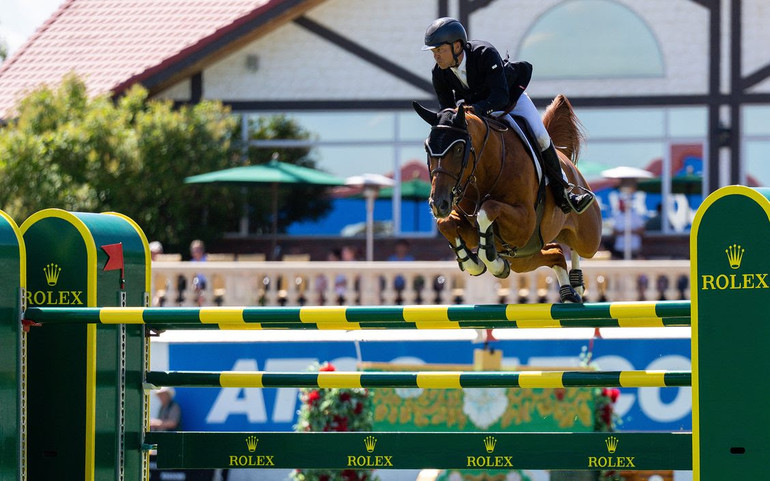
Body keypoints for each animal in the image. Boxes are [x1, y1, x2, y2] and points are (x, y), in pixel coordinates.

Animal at [412, 95, 604, 302]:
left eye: (458, 149)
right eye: (427, 148)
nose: (439, 204)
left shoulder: (524, 223)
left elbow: (487, 209)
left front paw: (492, 260)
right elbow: (446, 224)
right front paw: (475, 263)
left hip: (588, 238)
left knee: (576, 245)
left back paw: (577, 284)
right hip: (524, 258)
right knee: (557, 253)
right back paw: (570, 291)